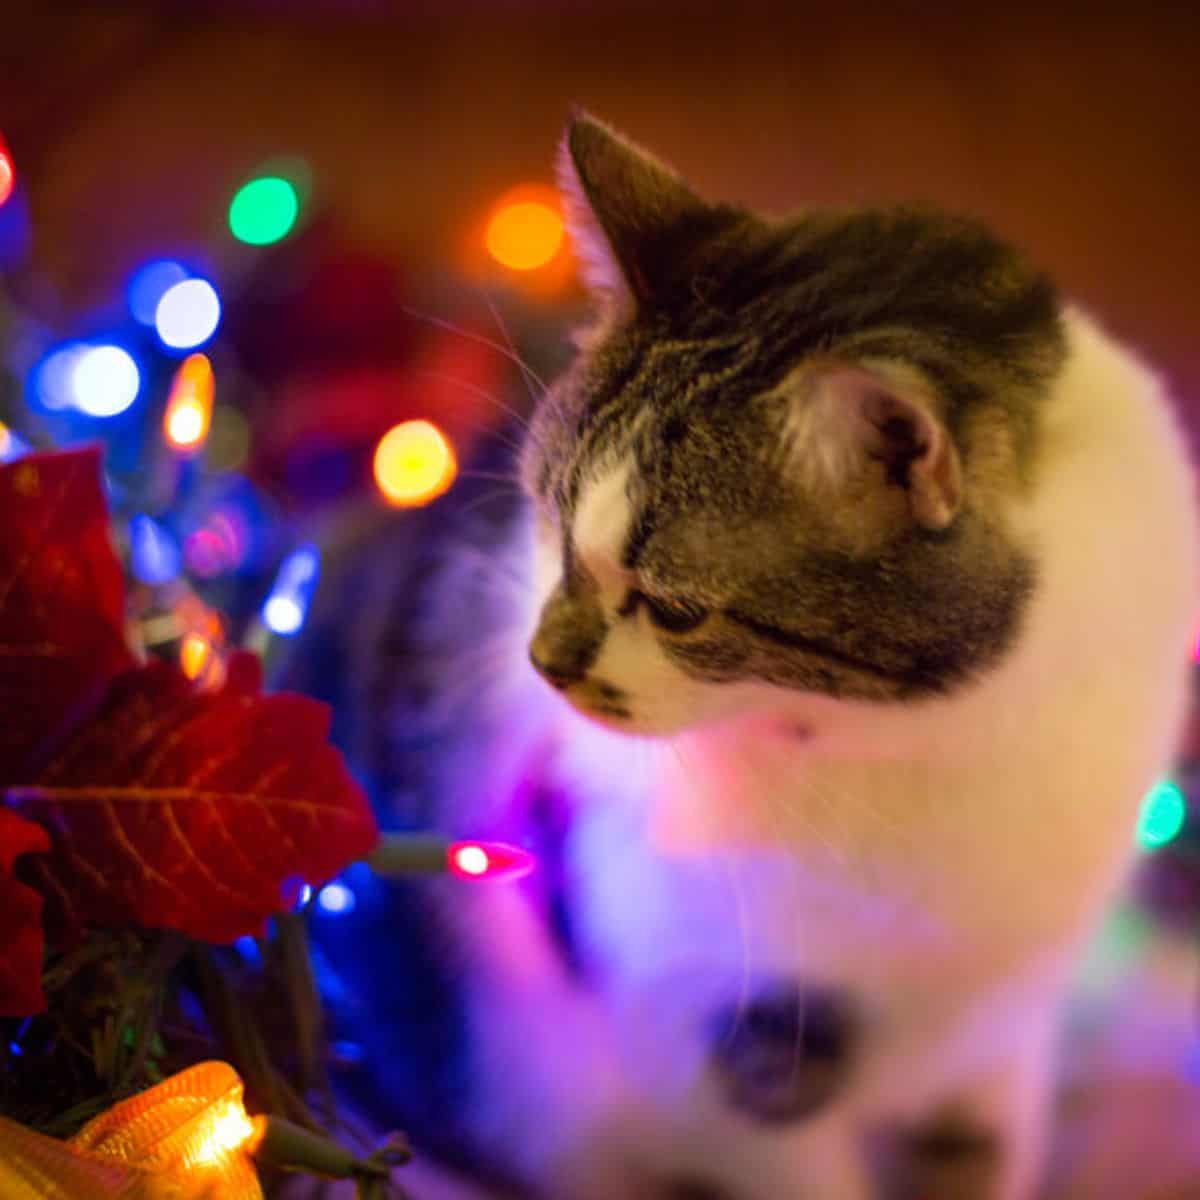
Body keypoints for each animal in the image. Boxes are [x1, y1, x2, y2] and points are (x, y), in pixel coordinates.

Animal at [288, 114, 1200, 1200]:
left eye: (678, 611)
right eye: (547, 517)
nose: (543, 663)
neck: (928, 742)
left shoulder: (1003, 1017)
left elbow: (976, 1146)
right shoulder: (711, 1025)